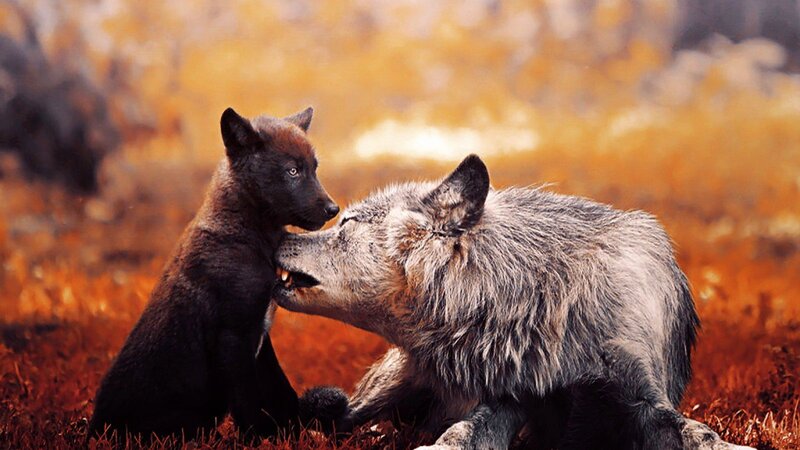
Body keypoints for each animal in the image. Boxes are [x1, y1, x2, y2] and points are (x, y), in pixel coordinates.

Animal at [89, 107, 340, 442]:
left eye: (314, 169)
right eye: (292, 172)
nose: (333, 209)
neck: (247, 238)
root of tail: (94, 431)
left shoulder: (261, 333)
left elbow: (280, 392)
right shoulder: (233, 337)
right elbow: (248, 402)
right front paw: (257, 441)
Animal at [274, 155, 753, 450]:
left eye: (347, 223)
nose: (276, 235)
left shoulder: (644, 400)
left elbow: (700, 433)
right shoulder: (508, 398)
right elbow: (460, 434)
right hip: (384, 388)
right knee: (340, 416)